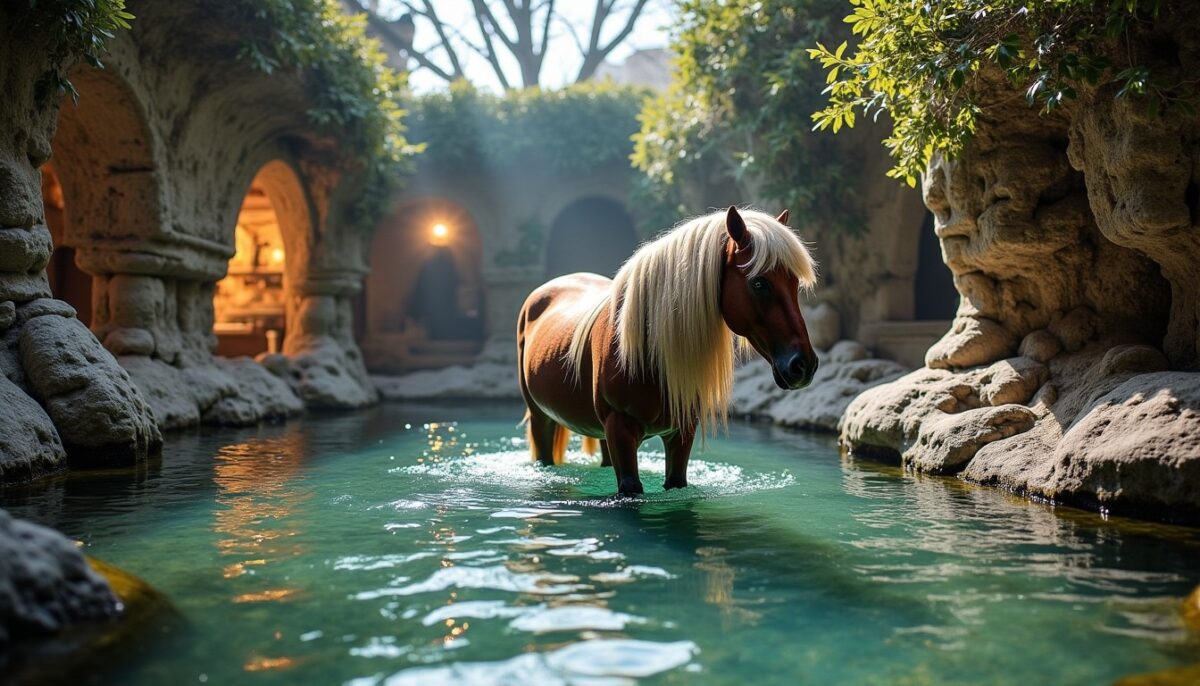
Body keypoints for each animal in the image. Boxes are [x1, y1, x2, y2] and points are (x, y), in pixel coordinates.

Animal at [516, 206, 818, 495]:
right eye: (758, 283)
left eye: (794, 284)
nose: (804, 365)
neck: (645, 353)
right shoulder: (620, 430)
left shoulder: (681, 433)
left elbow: (675, 482)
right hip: (541, 419)